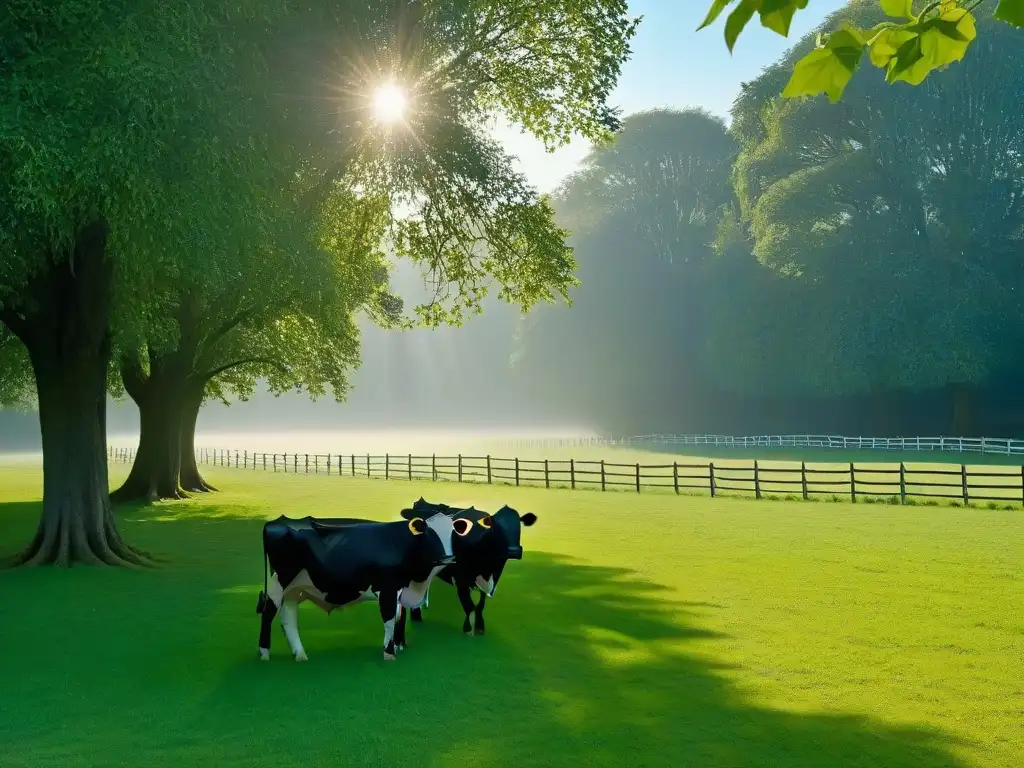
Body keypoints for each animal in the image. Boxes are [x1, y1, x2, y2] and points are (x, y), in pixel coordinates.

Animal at [260, 512, 475, 663]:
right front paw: (389, 653)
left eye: (453, 533)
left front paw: (399, 646)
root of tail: (276, 522)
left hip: (294, 590)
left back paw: (300, 654)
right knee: (268, 612)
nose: (449, 558)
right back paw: (264, 653)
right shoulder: (387, 588)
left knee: (288, 618)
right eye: (430, 534)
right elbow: (389, 620)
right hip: (278, 583)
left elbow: (400, 617)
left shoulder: (400, 590)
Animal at [399, 499, 540, 638]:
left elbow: (480, 605)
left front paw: (480, 626)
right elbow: (469, 606)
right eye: (496, 529)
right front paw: (468, 628)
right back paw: (416, 615)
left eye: (519, 525)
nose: (514, 551)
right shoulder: (461, 580)